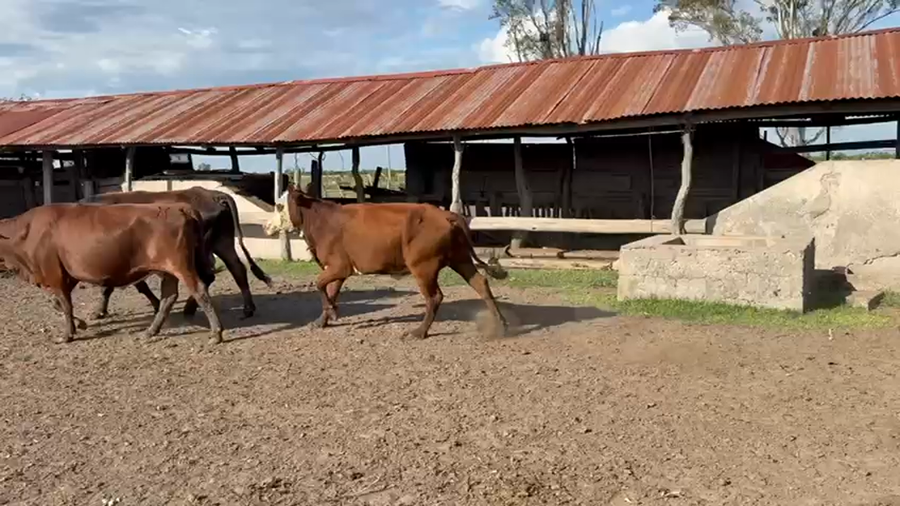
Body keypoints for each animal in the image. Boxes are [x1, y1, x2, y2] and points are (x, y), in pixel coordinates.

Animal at [0, 202, 223, 344]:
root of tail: (179, 207)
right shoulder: (67, 275)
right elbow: (60, 304)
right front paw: (80, 324)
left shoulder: (55, 274)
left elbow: (65, 305)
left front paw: (67, 335)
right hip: (167, 270)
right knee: (169, 297)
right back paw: (150, 332)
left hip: (181, 266)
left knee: (199, 290)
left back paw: (216, 333)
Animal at [81, 187, 272, 320]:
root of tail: (212, 194)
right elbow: (123, 286)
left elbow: (120, 286)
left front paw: (99, 312)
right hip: (222, 242)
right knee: (236, 268)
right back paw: (248, 309)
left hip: (204, 249)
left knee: (208, 276)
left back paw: (189, 308)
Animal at [263, 184, 508, 340]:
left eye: (279, 205)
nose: (266, 226)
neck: (321, 220)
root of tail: (446, 215)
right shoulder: (339, 270)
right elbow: (330, 290)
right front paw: (323, 318)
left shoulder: (339, 267)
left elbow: (319, 284)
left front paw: (331, 313)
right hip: (459, 258)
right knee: (480, 284)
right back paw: (501, 324)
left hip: (423, 267)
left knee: (434, 297)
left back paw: (419, 332)